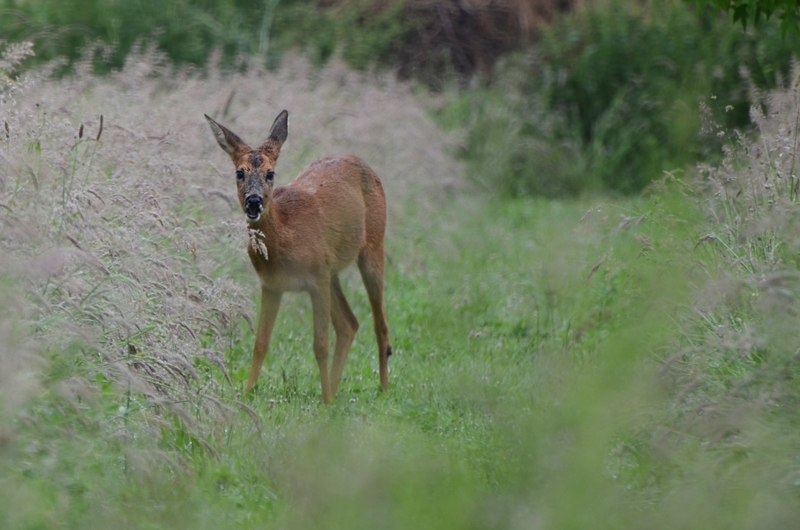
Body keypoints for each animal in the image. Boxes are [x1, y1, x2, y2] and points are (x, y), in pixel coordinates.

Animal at [205, 109, 392, 402]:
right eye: (239, 172)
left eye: (270, 173)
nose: (254, 202)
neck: (287, 234)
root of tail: (359, 159)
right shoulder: (272, 285)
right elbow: (261, 343)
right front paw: (247, 394)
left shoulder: (316, 280)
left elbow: (320, 344)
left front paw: (325, 403)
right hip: (332, 272)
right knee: (349, 323)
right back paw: (335, 387)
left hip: (372, 246)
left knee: (379, 322)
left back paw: (382, 389)